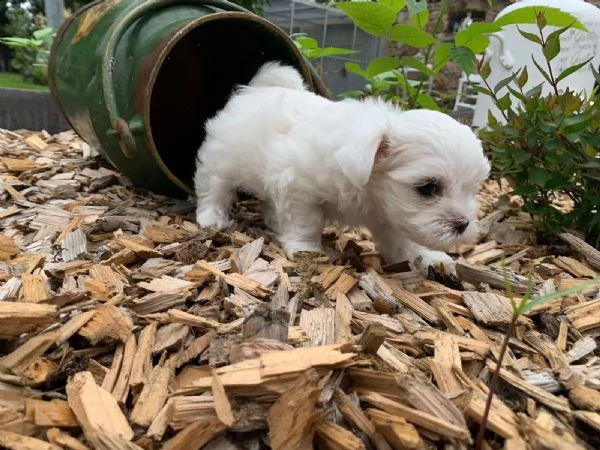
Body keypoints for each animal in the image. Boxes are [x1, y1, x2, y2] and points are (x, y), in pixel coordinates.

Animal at [195, 61, 490, 272]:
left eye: (472, 190)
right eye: (427, 188)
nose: (463, 224)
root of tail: (255, 90)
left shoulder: (389, 215)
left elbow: (403, 240)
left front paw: (426, 257)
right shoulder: (298, 189)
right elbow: (306, 222)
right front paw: (306, 250)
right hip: (221, 159)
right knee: (213, 187)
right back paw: (212, 217)